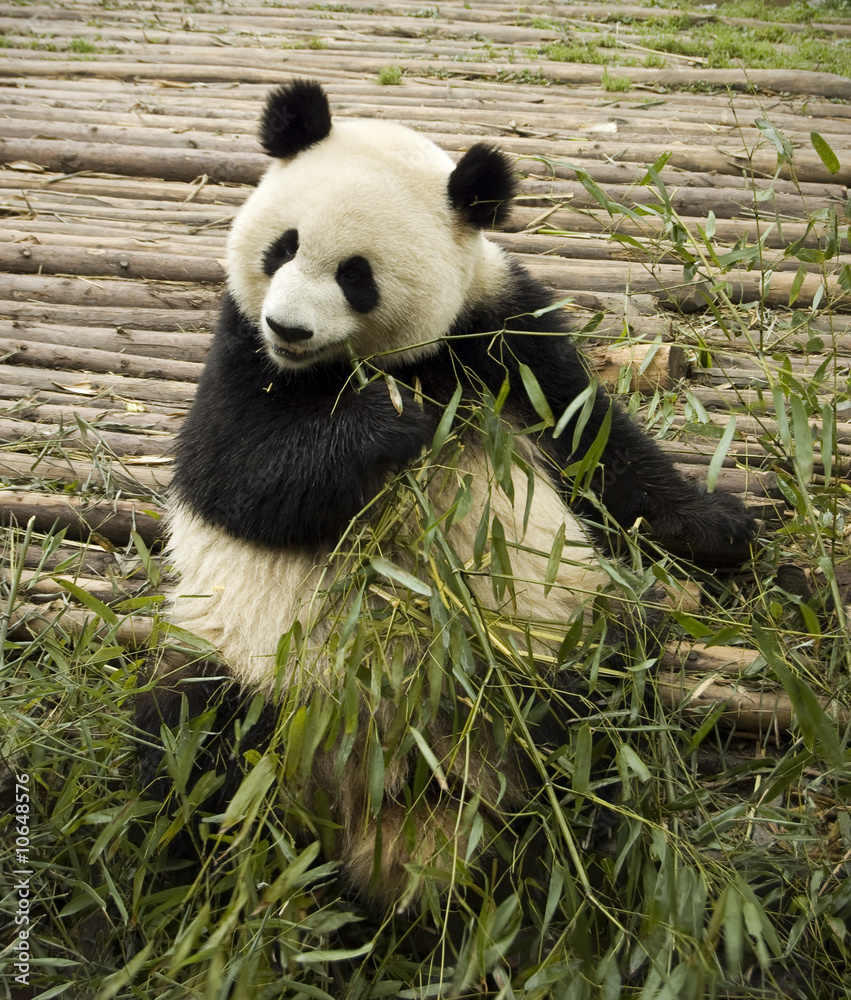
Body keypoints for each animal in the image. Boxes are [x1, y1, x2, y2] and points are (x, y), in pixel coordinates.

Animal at [136, 79, 756, 902]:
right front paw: (400, 419)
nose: (289, 329)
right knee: (186, 746)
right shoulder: (240, 347)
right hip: (242, 666)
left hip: (561, 648)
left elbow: (596, 446)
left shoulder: (501, 329)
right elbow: (233, 471)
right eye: (282, 247)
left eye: (356, 274)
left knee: (601, 711)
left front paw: (722, 526)